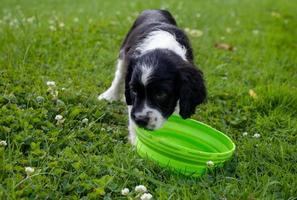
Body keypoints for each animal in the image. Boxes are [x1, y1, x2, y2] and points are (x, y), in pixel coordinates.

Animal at [98, 9, 205, 144]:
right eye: (134, 90)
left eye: (161, 94)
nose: (140, 120)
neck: (162, 45)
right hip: (124, 51)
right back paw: (109, 95)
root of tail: (156, 9)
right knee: (119, 75)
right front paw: (136, 140)